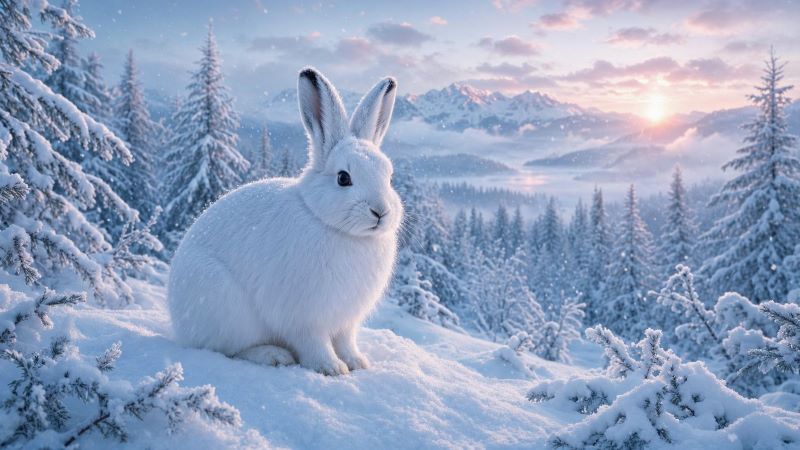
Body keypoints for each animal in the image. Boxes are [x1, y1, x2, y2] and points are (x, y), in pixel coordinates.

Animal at [168, 67, 403, 376]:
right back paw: (273, 356)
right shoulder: (305, 318)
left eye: (389, 176)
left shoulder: (346, 321)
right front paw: (331, 368)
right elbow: (314, 343)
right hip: (225, 307)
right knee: (229, 349)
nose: (380, 212)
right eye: (344, 178)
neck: (337, 229)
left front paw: (356, 362)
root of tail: (177, 319)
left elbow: (346, 341)